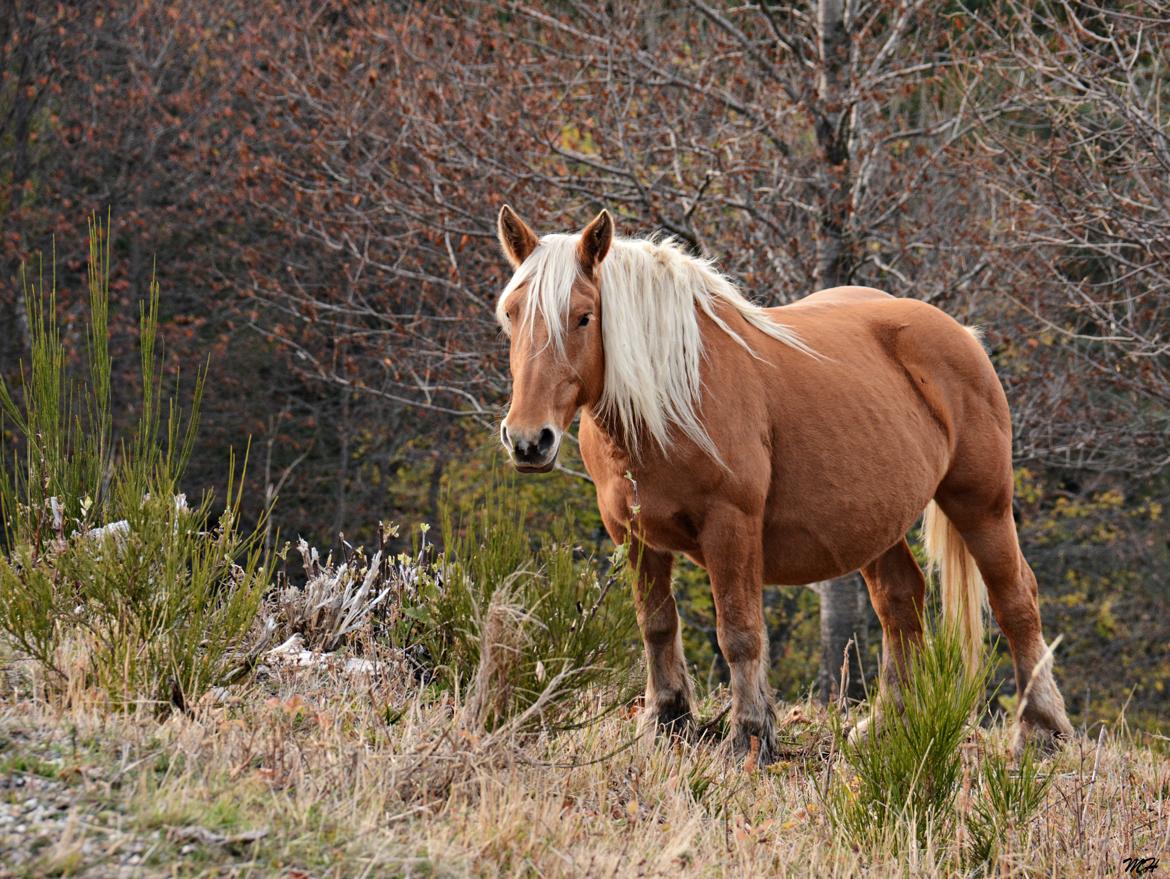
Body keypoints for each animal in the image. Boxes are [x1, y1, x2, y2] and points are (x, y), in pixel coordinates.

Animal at [489, 201, 1071, 763]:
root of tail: (961, 335)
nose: (528, 440)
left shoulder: (731, 526)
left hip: (981, 503)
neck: (670, 397)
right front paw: (665, 725)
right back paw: (886, 727)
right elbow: (656, 625)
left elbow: (739, 633)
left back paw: (1041, 731)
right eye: (511, 315)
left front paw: (748, 737)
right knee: (901, 602)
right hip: (874, 524)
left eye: (584, 317)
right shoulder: (632, 534)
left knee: (1015, 599)